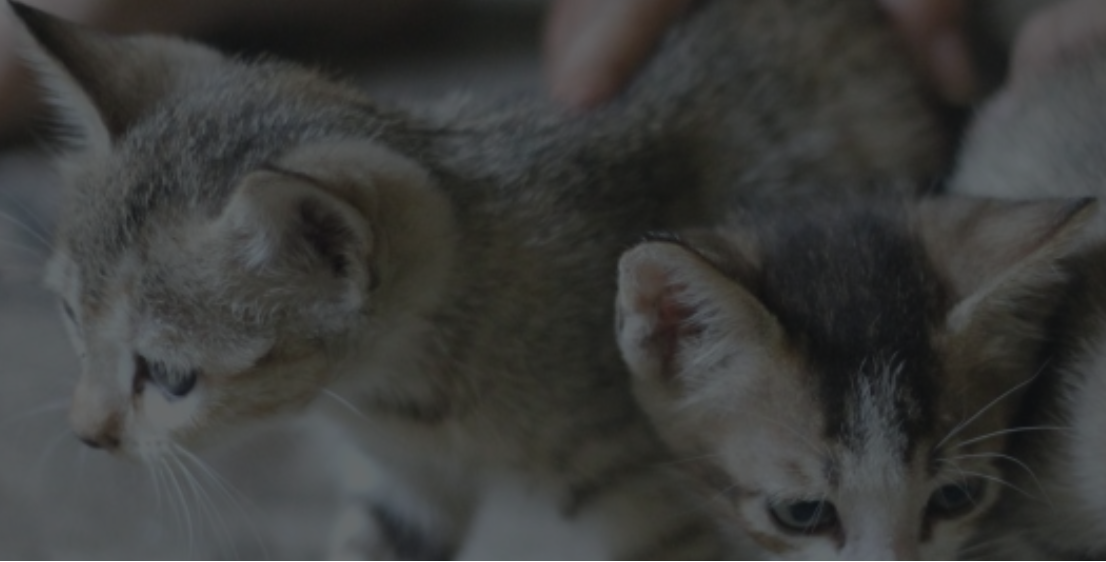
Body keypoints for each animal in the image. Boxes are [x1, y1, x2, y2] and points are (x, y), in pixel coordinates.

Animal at [13, 0, 945, 557]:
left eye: (170, 376)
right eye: (67, 317)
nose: (87, 432)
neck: (399, 394)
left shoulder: (659, 506)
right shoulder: (401, 488)